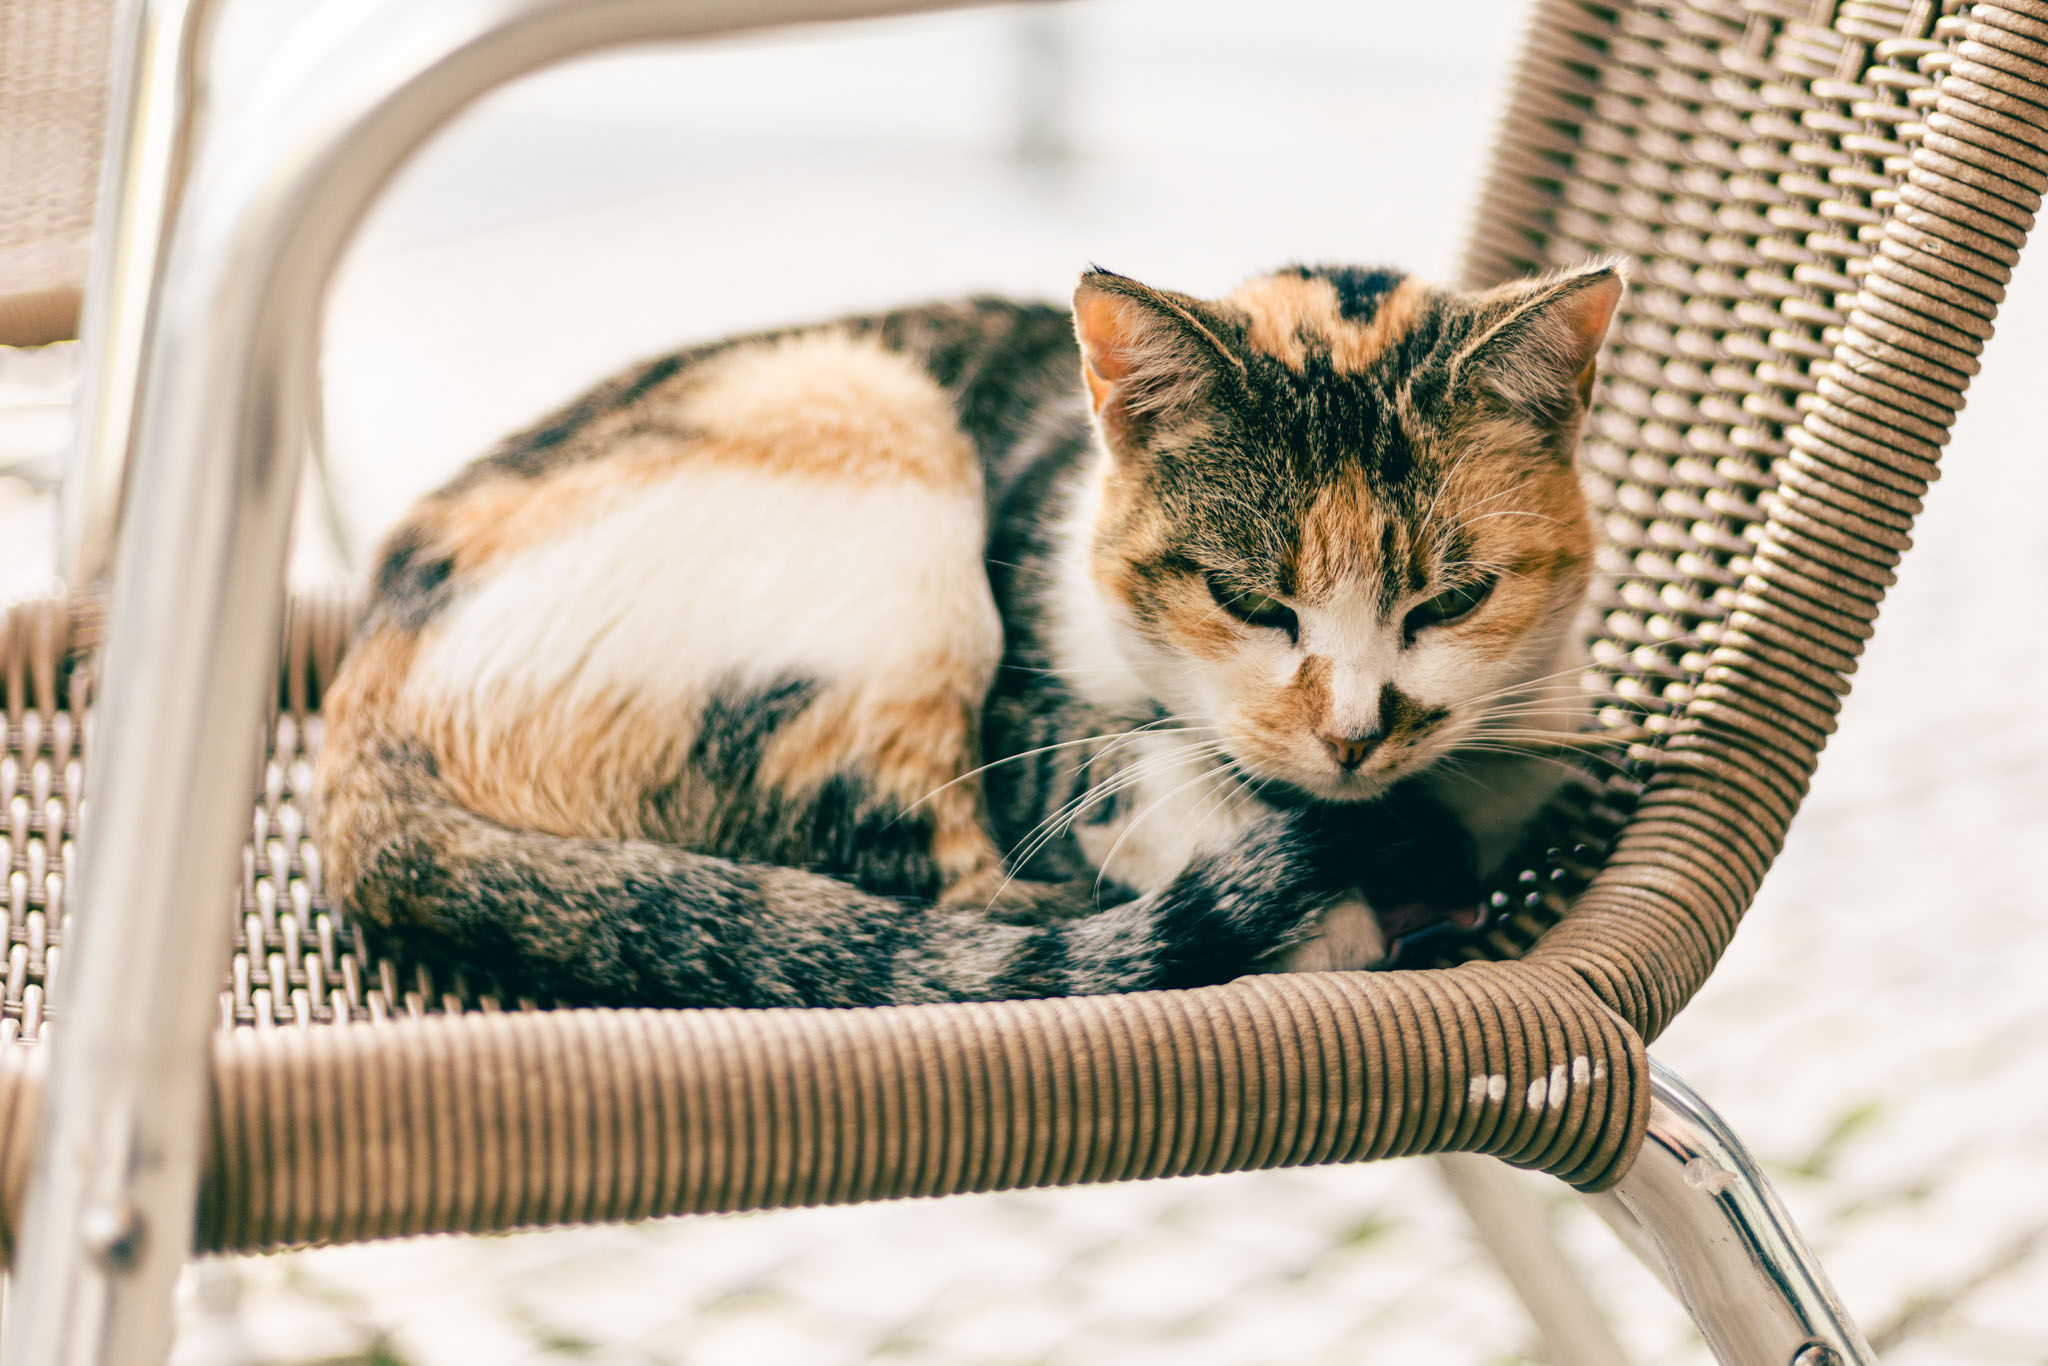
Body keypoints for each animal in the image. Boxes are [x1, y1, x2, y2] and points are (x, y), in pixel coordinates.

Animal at [311, 259, 1622, 1003]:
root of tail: (359, 706)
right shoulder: (1027, 725)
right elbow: (1135, 773)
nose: (1351, 736)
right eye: (1246, 599)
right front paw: (1318, 897)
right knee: (938, 905)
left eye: (1450, 601)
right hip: (872, 429)